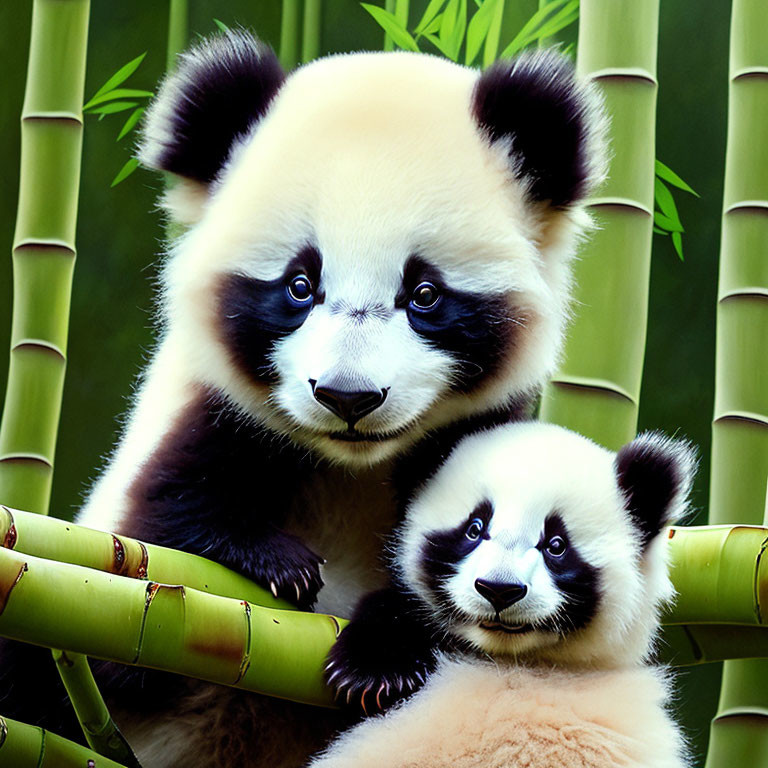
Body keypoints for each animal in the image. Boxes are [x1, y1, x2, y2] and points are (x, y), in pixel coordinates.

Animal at [61, 31, 608, 768]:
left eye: (424, 293)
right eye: (300, 284)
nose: (348, 397)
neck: (350, 469)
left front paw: (374, 662)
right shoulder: (200, 434)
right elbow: (150, 569)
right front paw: (281, 565)